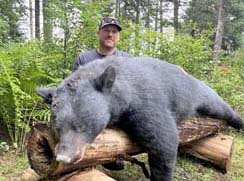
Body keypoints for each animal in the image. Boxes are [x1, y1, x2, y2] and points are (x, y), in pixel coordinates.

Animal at [37, 55, 243, 180]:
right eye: (58, 126)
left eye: (82, 125)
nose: (64, 157)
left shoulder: (145, 101)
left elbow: (164, 140)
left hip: (201, 95)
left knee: (221, 107)